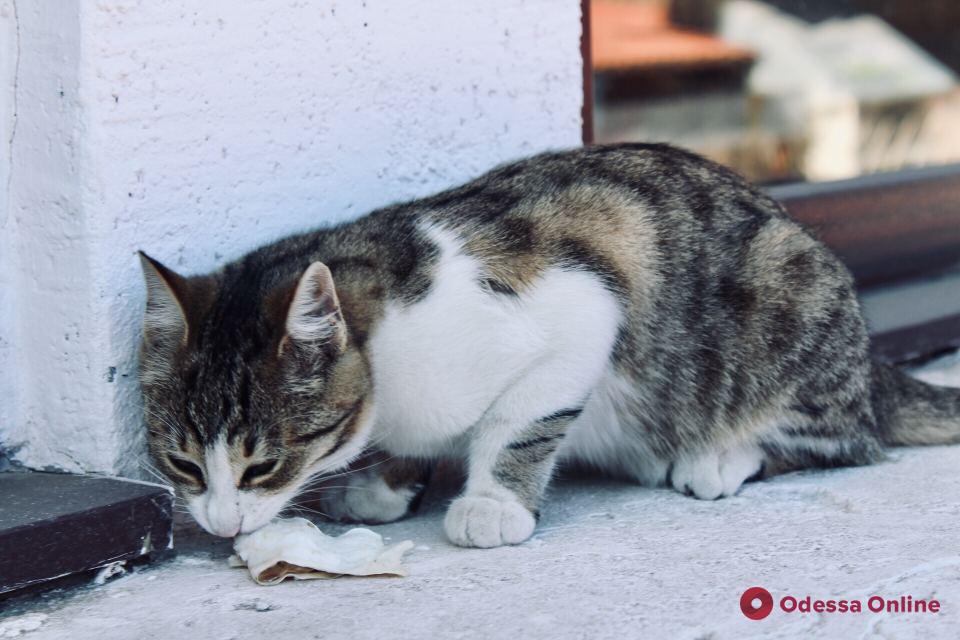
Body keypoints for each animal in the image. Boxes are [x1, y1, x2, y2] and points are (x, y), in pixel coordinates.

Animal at [139, 144, 960, 544]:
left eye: (262, 468)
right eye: (183, 464)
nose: (218, 524)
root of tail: (870, 363)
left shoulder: (581, 309)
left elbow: (519, 422)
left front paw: (493, 504)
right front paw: (390, 481)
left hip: (789, 305)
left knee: (842, 439)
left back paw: (718, 457)